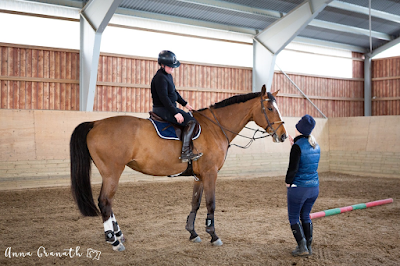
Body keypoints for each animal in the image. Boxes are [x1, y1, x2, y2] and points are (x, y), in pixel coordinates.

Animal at [69, 84, 288, 250]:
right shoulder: (210, 173)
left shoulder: (199, 176)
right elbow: (211, 203)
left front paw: (193, 233)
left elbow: (195, 203)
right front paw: (213, 235)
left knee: (108, 203)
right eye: (270, 109)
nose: (284, 136)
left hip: (110, 173)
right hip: (112, 172)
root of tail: (96, 123)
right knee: (105, 202)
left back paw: (118, 235)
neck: (215, 127)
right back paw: (114, 241)